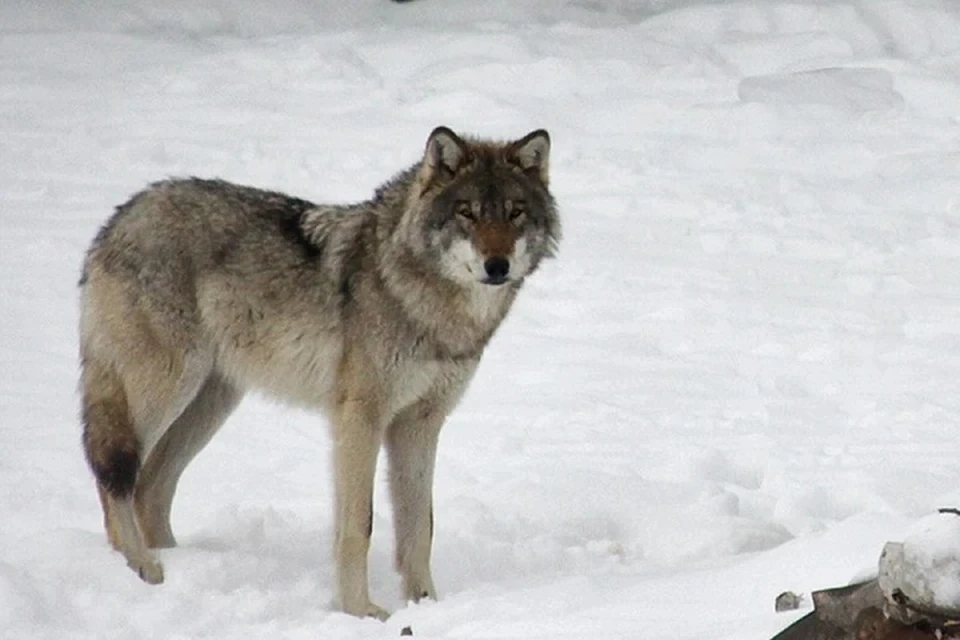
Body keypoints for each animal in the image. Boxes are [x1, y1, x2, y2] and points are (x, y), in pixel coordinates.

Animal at [80, 126, 564, 620]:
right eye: (466, 212)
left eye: (515, 212)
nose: (497, 266)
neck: (426, 304)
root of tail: (118, 219)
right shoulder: (360, 419)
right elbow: (359, 526)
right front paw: (361, 611)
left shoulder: (421, 423)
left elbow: (419, 527)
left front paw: (427, 606)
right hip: (168, 388)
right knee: (113, 474)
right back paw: (141, 566)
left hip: (210, 405)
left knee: (150, 486)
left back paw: (177, 564)